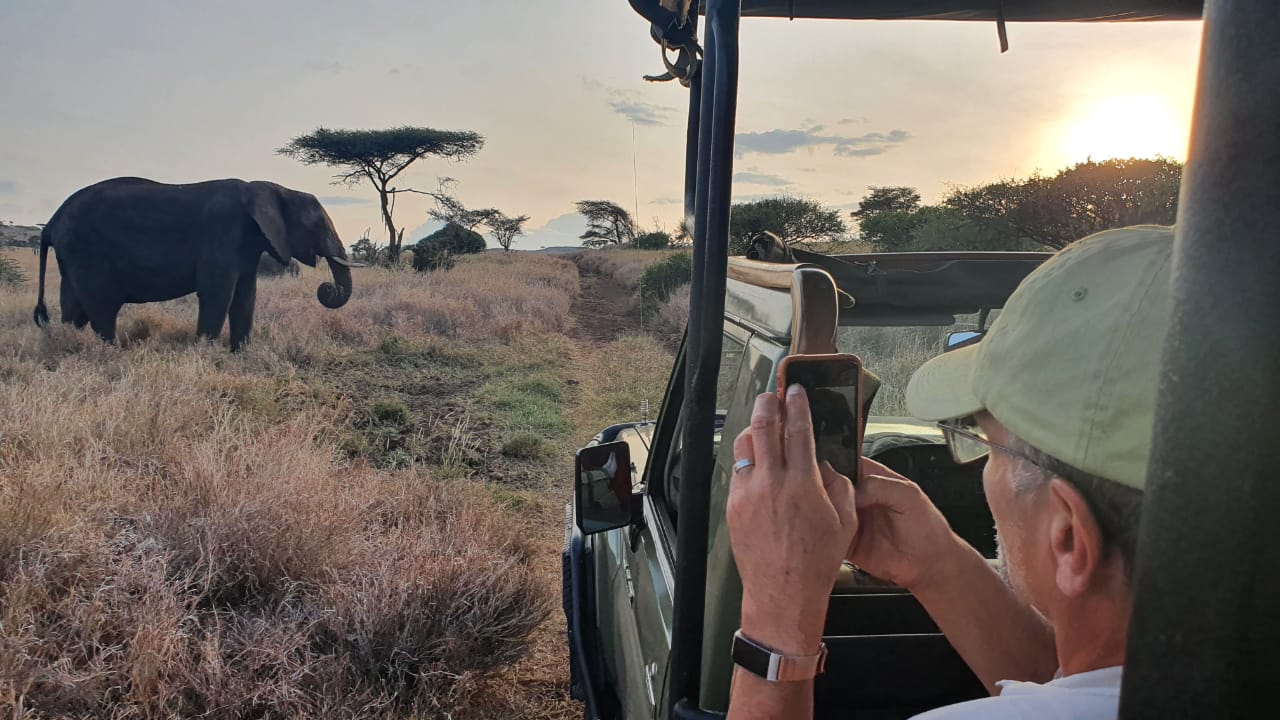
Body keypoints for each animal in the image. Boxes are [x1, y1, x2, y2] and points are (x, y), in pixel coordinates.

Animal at [35, 178, 355, 348]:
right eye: (317, 224)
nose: (327, 288)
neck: (273, 188)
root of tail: (51, 222)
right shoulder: (223, 234)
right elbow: (218, 294)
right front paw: (206, 351)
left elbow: (245, 296)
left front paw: (240, 353)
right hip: (87, 250)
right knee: (102, 306)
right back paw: (111, 352)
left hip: (72, 254)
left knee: (73, 306)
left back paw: (67, 345)